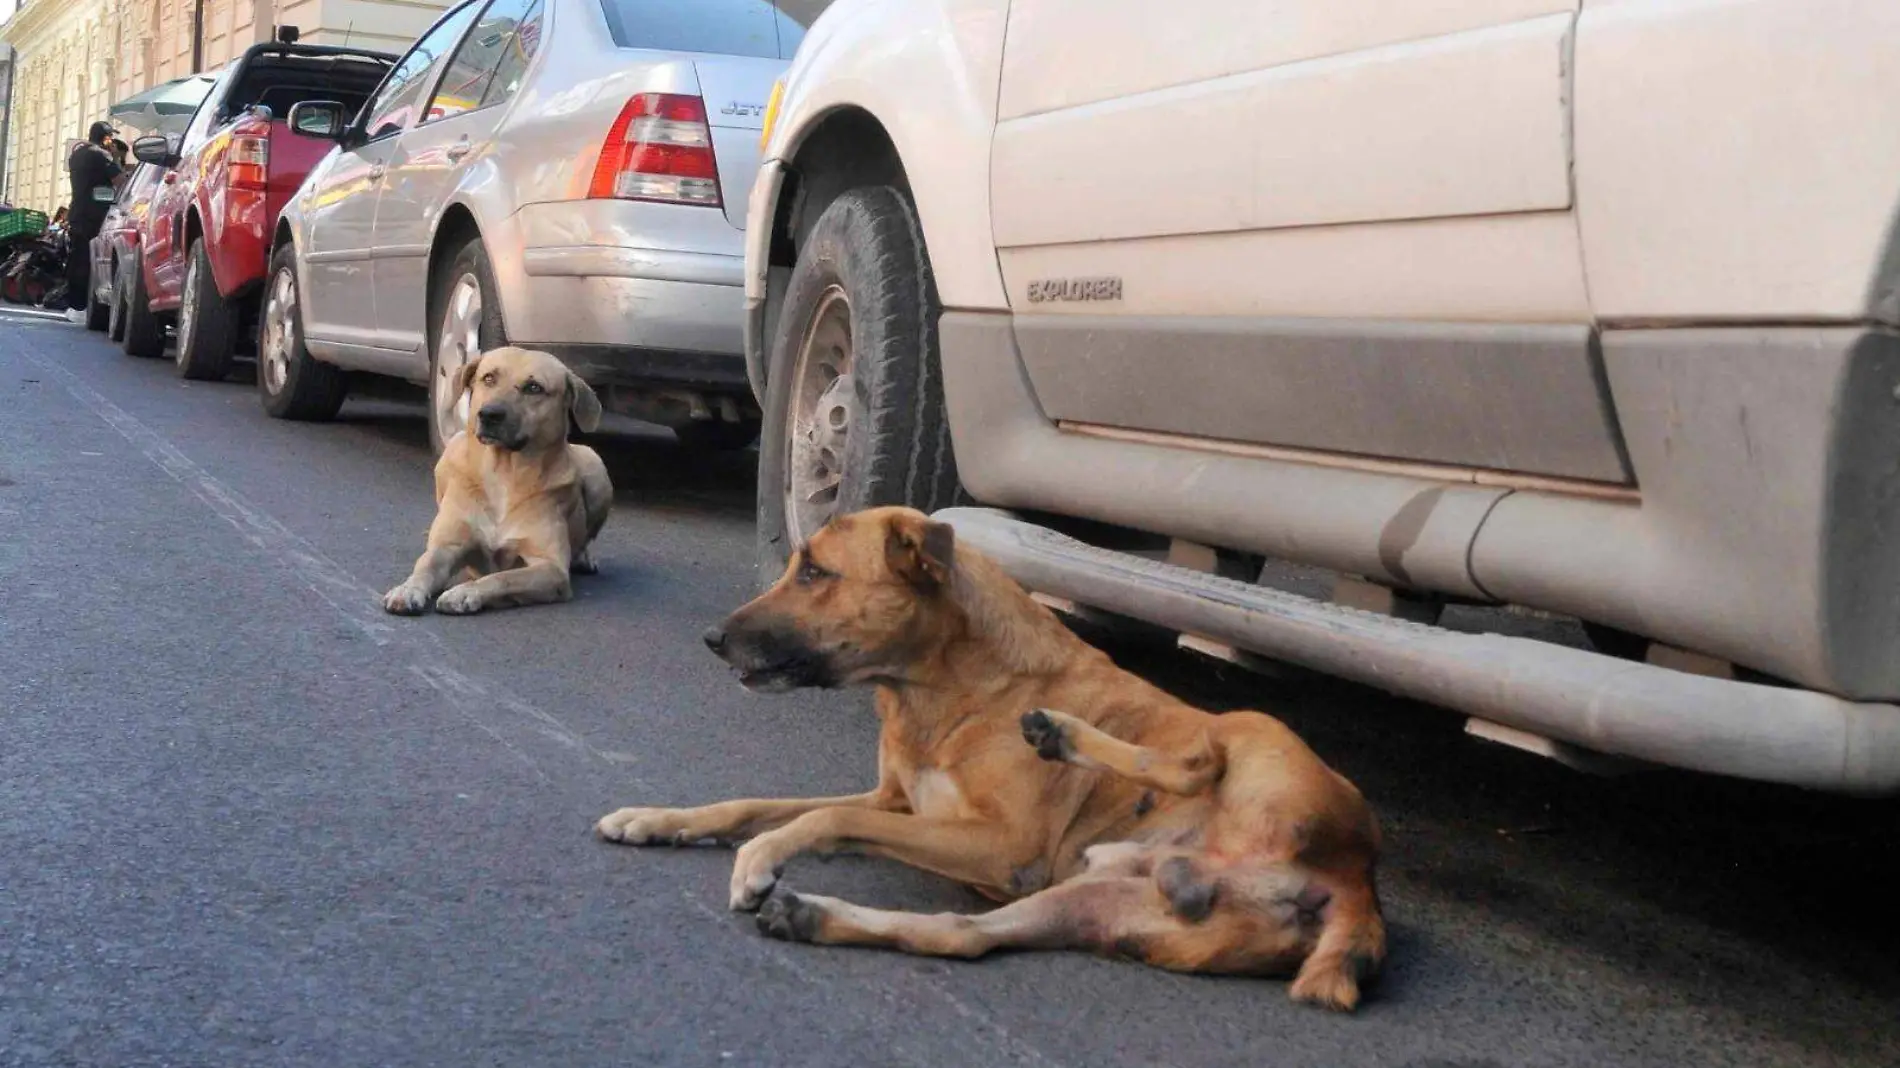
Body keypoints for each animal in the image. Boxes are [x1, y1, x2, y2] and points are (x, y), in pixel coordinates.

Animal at [374, 347, 604, 615]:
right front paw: (408, 589)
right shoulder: (448, 546)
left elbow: (503, 578)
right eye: (489, 378)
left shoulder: (550, 568)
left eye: (533, 387)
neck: (503, 475)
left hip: (596, 466)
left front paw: (465, 592)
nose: (489, 414)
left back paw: (584, 557)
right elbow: (426, 565)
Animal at [600, 505, 1390, 1003]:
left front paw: (761, 857)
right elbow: (754, 802)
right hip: (1093, 901)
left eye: (816, 573)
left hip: (1255, 728)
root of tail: (1356, 883)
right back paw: (814, 918)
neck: (947, 689)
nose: (711, 639)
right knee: (963, 937)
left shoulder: (1000, 845)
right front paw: (657, 819)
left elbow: (816, 821)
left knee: (1196, 760)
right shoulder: (894, 801)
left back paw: (1063, 733)